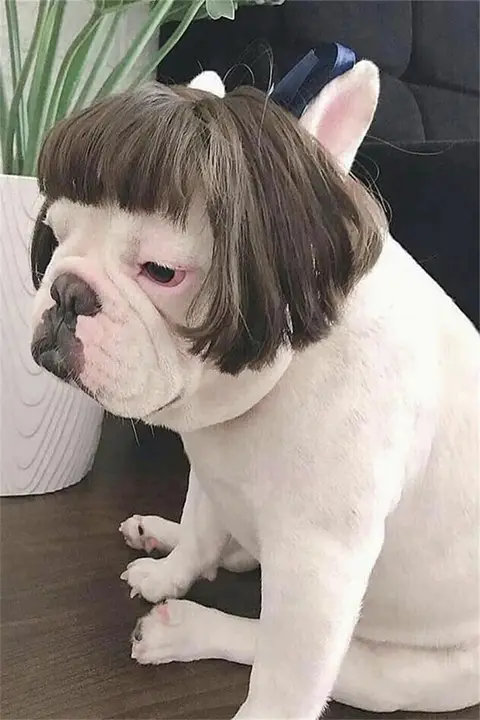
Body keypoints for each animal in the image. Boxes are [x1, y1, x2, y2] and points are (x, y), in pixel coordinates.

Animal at [30, 61, 479, 719]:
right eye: (57, 235)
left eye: (162, 272)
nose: (66, 291)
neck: (277, 381)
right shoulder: (210, 463)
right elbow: (198, 527)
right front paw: (171, 570)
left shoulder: (321, 565)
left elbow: (284, 679)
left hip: (401, 673)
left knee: (285, 645)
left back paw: (185, 630)